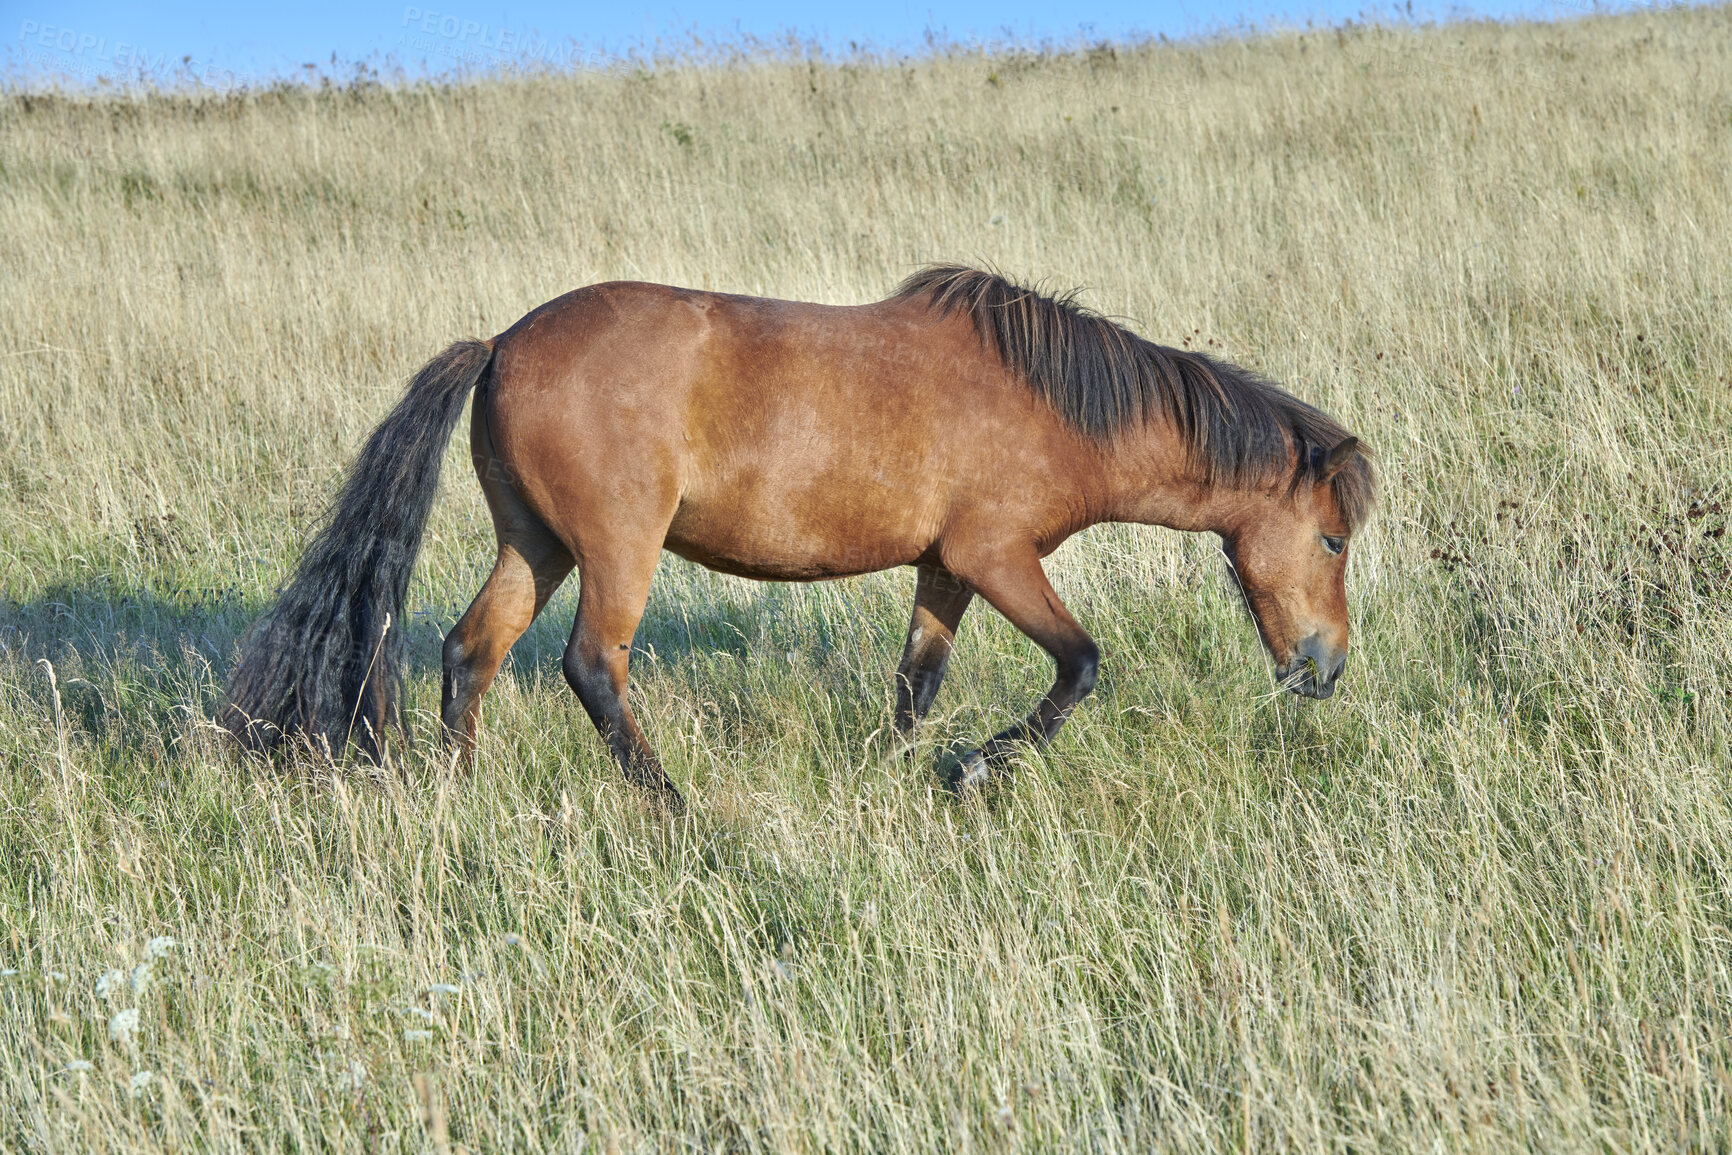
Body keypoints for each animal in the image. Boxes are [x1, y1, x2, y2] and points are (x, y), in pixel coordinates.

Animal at [219, 266, 1378, 810]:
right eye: (1332, 541)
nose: (1325, 671)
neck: (1054, 404)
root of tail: (501, 343)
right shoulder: (999, 560)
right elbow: (1081, 667)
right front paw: (975, 770)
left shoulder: (945, 569)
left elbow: (917, 682)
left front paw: (902, 772)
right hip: (617, 550)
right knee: (592, 666)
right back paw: (673, 808)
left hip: (535, 546)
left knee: (472, 651)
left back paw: (458, 787)